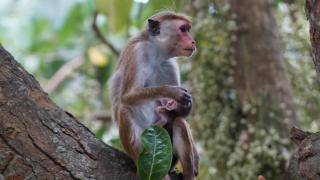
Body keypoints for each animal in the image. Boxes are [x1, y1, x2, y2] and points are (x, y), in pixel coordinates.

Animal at [109, 11, 199, 180]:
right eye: (183, 29)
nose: (193, 41)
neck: (156, 52)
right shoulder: (137, 52)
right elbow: (127, 97)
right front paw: (171, 91)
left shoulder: (169, 65)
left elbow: (180, 114)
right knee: (125, 110)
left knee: (178, 122)